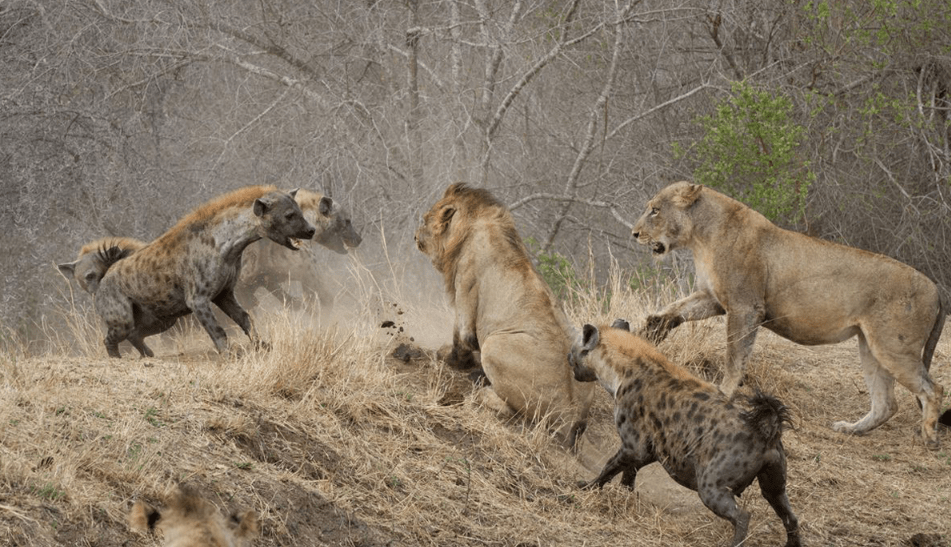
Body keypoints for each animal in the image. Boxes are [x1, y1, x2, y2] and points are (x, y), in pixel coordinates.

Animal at [416, 182, 596, 448]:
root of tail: (571, 415)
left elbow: (461, 338)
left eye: (425, 218)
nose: (415, 235)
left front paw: (452, 359)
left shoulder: (465, 289)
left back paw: (482, 387)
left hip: (495, 345)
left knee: (512, 410)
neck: (471, 225)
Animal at [628, 182, 948, 448]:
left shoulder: (745, 306)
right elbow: (677, 308)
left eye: (655, 210)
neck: (700, 236)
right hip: (870, 346)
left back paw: (929, 438)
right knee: (886, 404)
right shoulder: (714, 298)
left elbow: (735, 356)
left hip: (893, 346)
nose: (634, 234)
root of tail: (935, 288)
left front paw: (725, 394)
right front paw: (652, 329)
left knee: (933, 389)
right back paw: (850, 429)